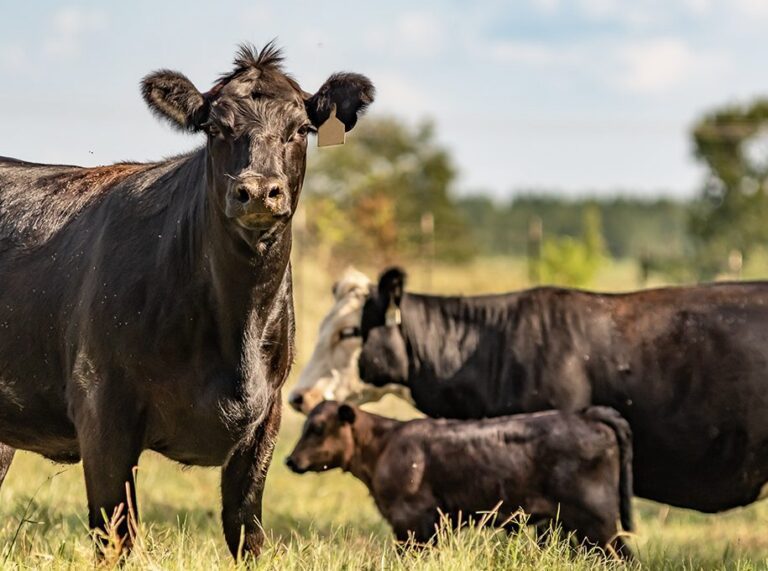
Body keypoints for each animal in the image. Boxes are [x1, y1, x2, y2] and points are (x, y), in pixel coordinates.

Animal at [0, 43, 373, 560]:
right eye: (215, 128)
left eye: (301, 129)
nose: (258, 191)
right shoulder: (101, 408)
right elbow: (116, 535)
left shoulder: (267, 418)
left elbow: (247, 532)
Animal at [286, 401, 634, 559]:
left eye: (317, 428)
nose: (290, 460)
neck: (384, 444)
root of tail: (585, 414)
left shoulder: (413, 521)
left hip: (596, 522)